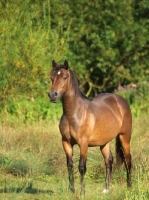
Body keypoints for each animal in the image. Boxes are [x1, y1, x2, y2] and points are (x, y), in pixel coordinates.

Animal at [47, 59, 132, 194]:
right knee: (109, 160)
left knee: (127, 160)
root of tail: (120, 100)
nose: (52, 95)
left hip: (125, 137)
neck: (74, 114)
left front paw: (82, 192)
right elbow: (70, 165)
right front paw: (72, 190)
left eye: (64, 77)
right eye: (52, 78)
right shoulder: (66, 142)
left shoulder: (83, 143)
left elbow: (82, 167)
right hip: (104, 142)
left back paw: (129, 187)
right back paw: (106, 189)